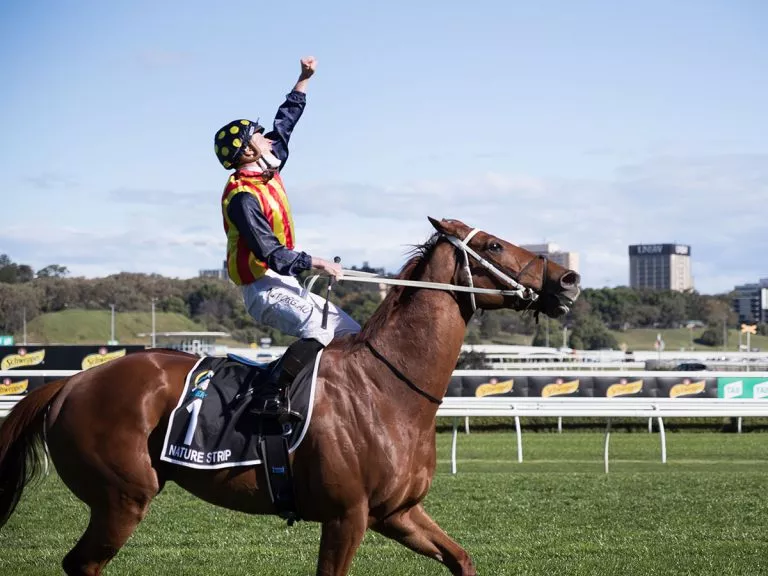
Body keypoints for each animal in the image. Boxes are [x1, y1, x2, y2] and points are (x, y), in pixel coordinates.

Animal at [0, 218, 576, 572]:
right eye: (494, 244)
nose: (568, 278)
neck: (389, 388)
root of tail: (69, 383)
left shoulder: (397, 513)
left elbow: (461, 558)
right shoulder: (347, 518)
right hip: (122, 498)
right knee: (83, 562)